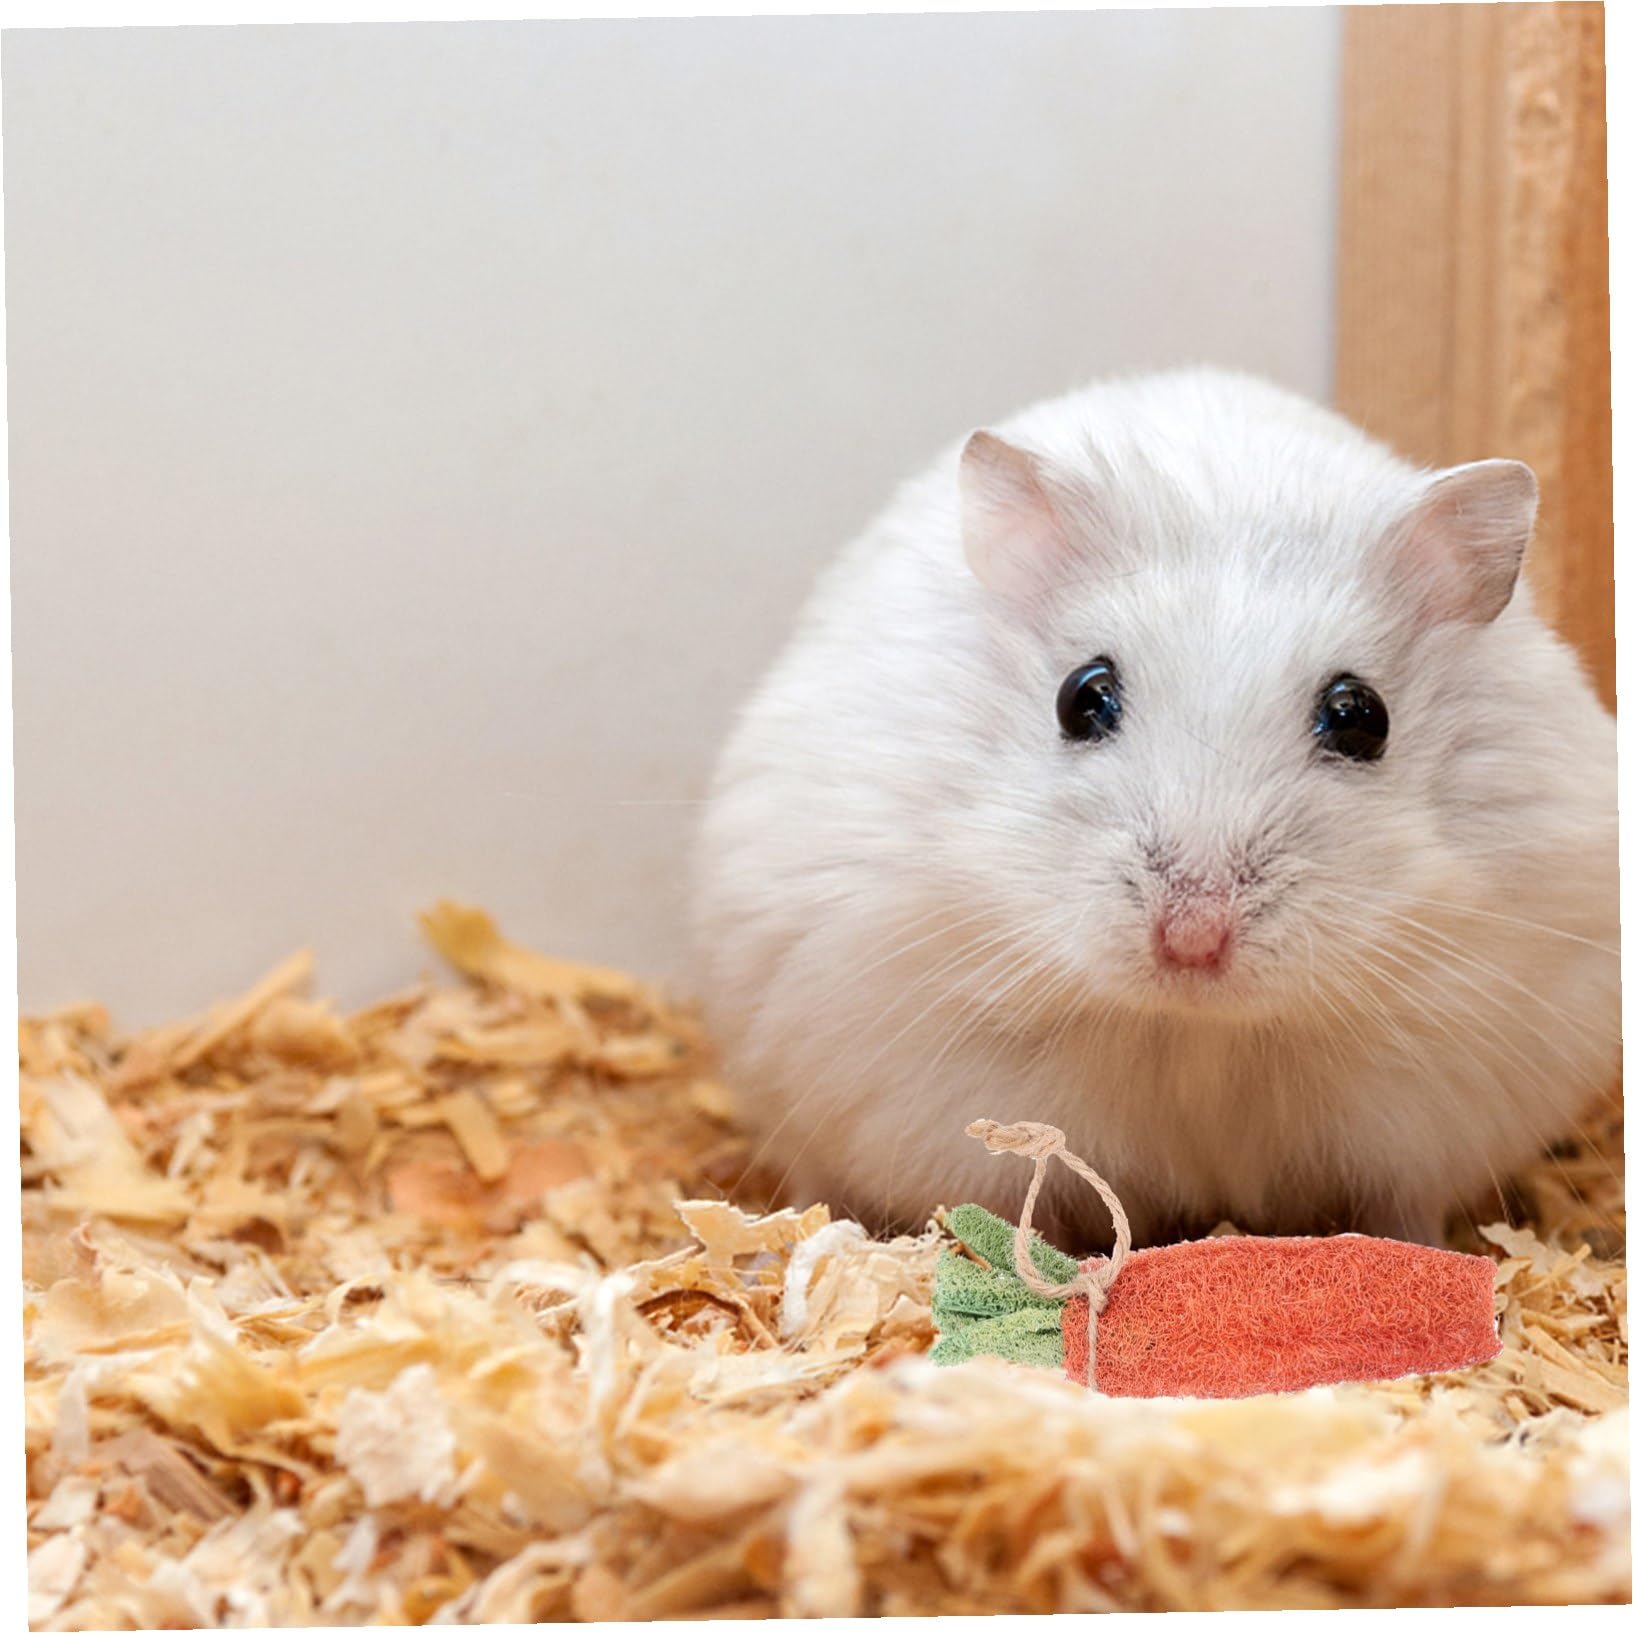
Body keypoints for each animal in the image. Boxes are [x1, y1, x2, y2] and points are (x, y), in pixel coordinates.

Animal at [691, 369, 1621, 1249]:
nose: (1192, 940)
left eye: (1361, 716)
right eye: (1081, 696)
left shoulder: (1434, 1096)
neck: (1194, 1030)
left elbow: (1397, 1206)